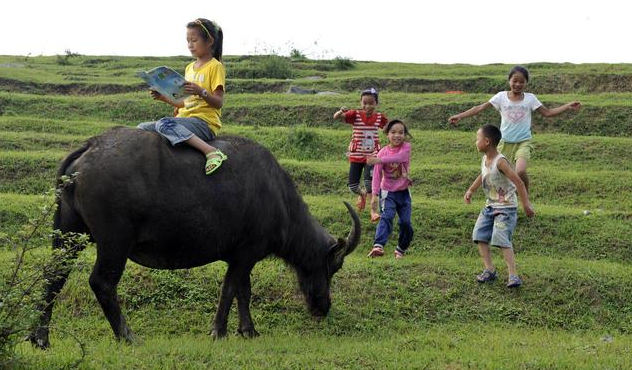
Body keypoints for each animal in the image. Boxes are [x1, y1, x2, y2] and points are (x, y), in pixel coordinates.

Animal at [29, 126, 360, 346]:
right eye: (334, 266)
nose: (323, 307)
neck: (278, 197)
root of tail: (90, 146)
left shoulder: (242, 256)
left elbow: (244, 291)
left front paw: (248, 330)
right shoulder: (246, 253)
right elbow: (231, 289)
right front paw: (219, 331)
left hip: (67, 233)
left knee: (54, 277)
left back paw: (39, 337)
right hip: (114, 242)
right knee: (101, 283)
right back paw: (128, 336)